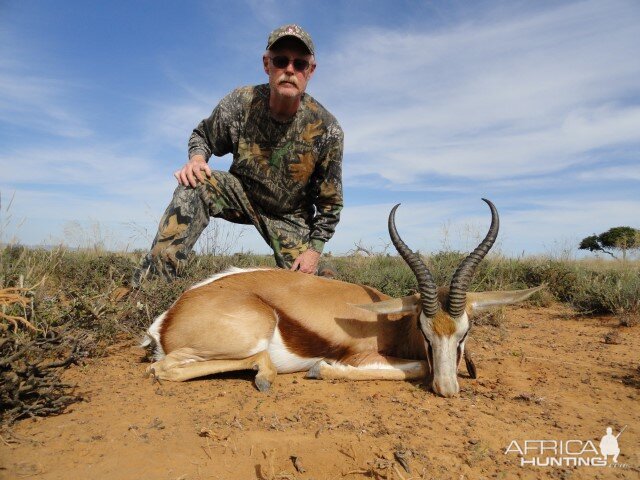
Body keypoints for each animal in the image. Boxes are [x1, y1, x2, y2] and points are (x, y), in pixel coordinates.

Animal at [144, 199, 540, 398]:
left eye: (464, 334)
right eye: (425, 332)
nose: (448, 390)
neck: (390, 323)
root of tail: (167, 320)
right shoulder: (364, 355)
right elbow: (417, 366)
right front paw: (321, 368)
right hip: (248, 335)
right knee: (163, 369)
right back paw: (265, 375)